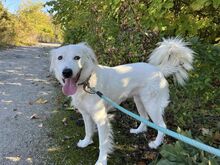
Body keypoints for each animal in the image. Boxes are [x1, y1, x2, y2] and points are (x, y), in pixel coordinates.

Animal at [49, 38, 194, 164]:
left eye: (77, 58)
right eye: (60, 58)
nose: (67, 72)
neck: (87, 83)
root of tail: (158, 70)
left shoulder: (102, 119)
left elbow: (103, 144)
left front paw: (101, 161)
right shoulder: (85, 114)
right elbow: (88, 131)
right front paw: (85, 142)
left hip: (151, 104)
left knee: (162, 126)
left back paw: (155, 144)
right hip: (140, 101)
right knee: (144, 118)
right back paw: (138, 131)